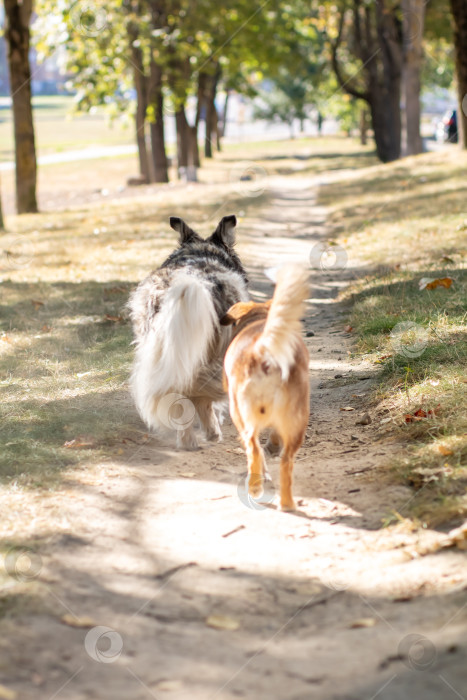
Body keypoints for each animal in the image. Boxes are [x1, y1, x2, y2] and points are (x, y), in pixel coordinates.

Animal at [222, 266, 310, 512]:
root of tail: (265, 349)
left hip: (241, 414)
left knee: (253, 449)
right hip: (297, 421)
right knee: (286, 461)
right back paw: (287, 503)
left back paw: (255, 487)